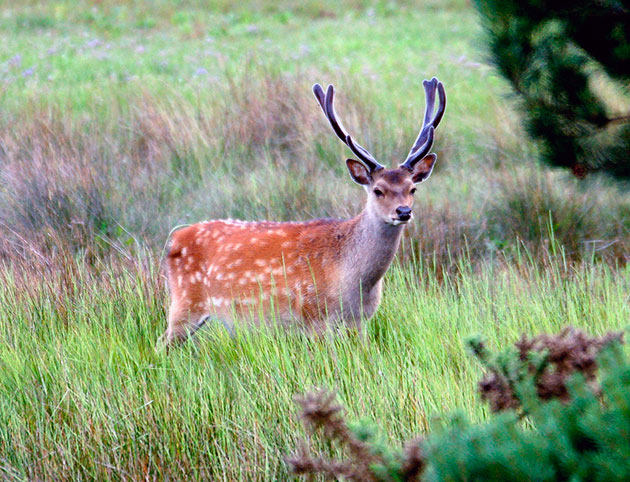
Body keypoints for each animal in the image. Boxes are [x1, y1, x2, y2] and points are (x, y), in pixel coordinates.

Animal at [163, 77, 450, 346]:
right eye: (378, 190)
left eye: (412, 188)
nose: (403, 211)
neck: (355, 284)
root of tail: (173, 240)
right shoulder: (314, 317)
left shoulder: (360, 322)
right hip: (185, 304)